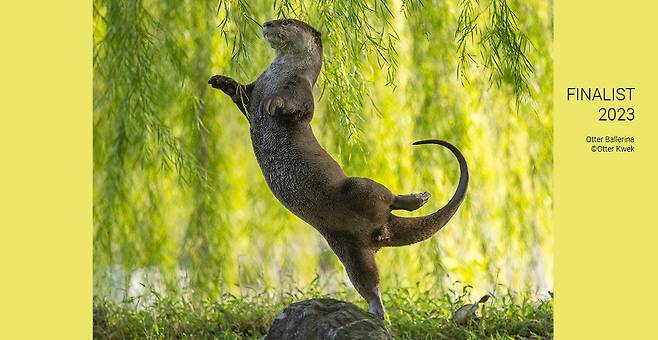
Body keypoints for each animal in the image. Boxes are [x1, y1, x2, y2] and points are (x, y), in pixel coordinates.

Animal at [208, 18, 468, 318]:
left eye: (285, 21)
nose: (267, 23)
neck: (279, 75)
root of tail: (383, 228)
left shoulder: (301, 92)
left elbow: (294, 108)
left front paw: (273, 104)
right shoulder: (255, 88)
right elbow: (241, 94)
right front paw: (221, 81)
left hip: (358, 187)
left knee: (388, 196)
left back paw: (418, 198)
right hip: (348, 248)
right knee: (368, 282)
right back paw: (377, 313)